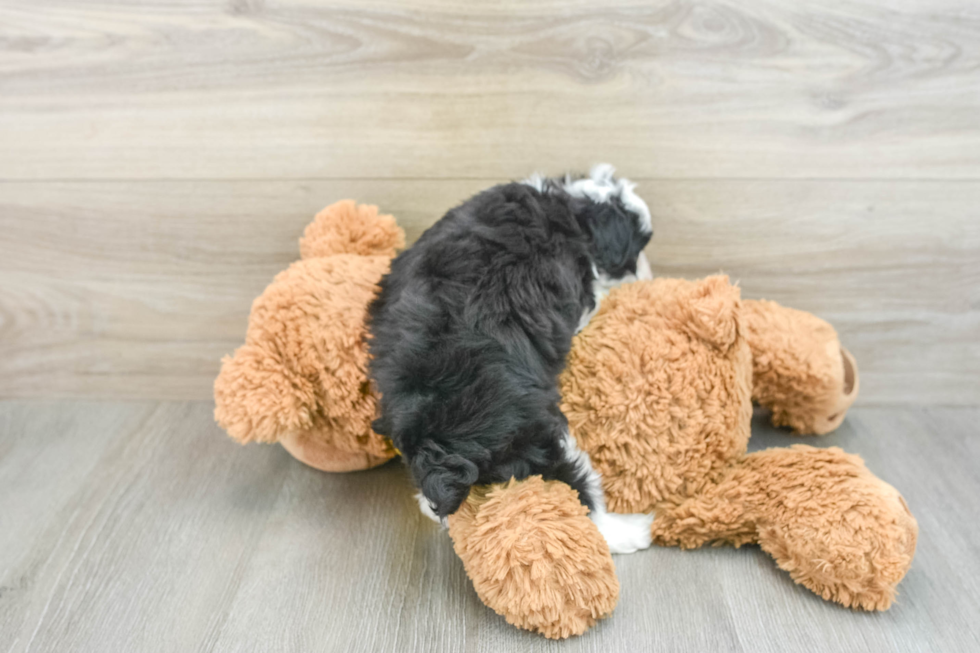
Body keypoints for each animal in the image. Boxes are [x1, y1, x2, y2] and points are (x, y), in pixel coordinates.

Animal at [364, 163, 656, 552]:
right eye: (637, 250)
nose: (648, 273)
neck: (570, 207)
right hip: (538, 433)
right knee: (576, 487)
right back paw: (632, 530)